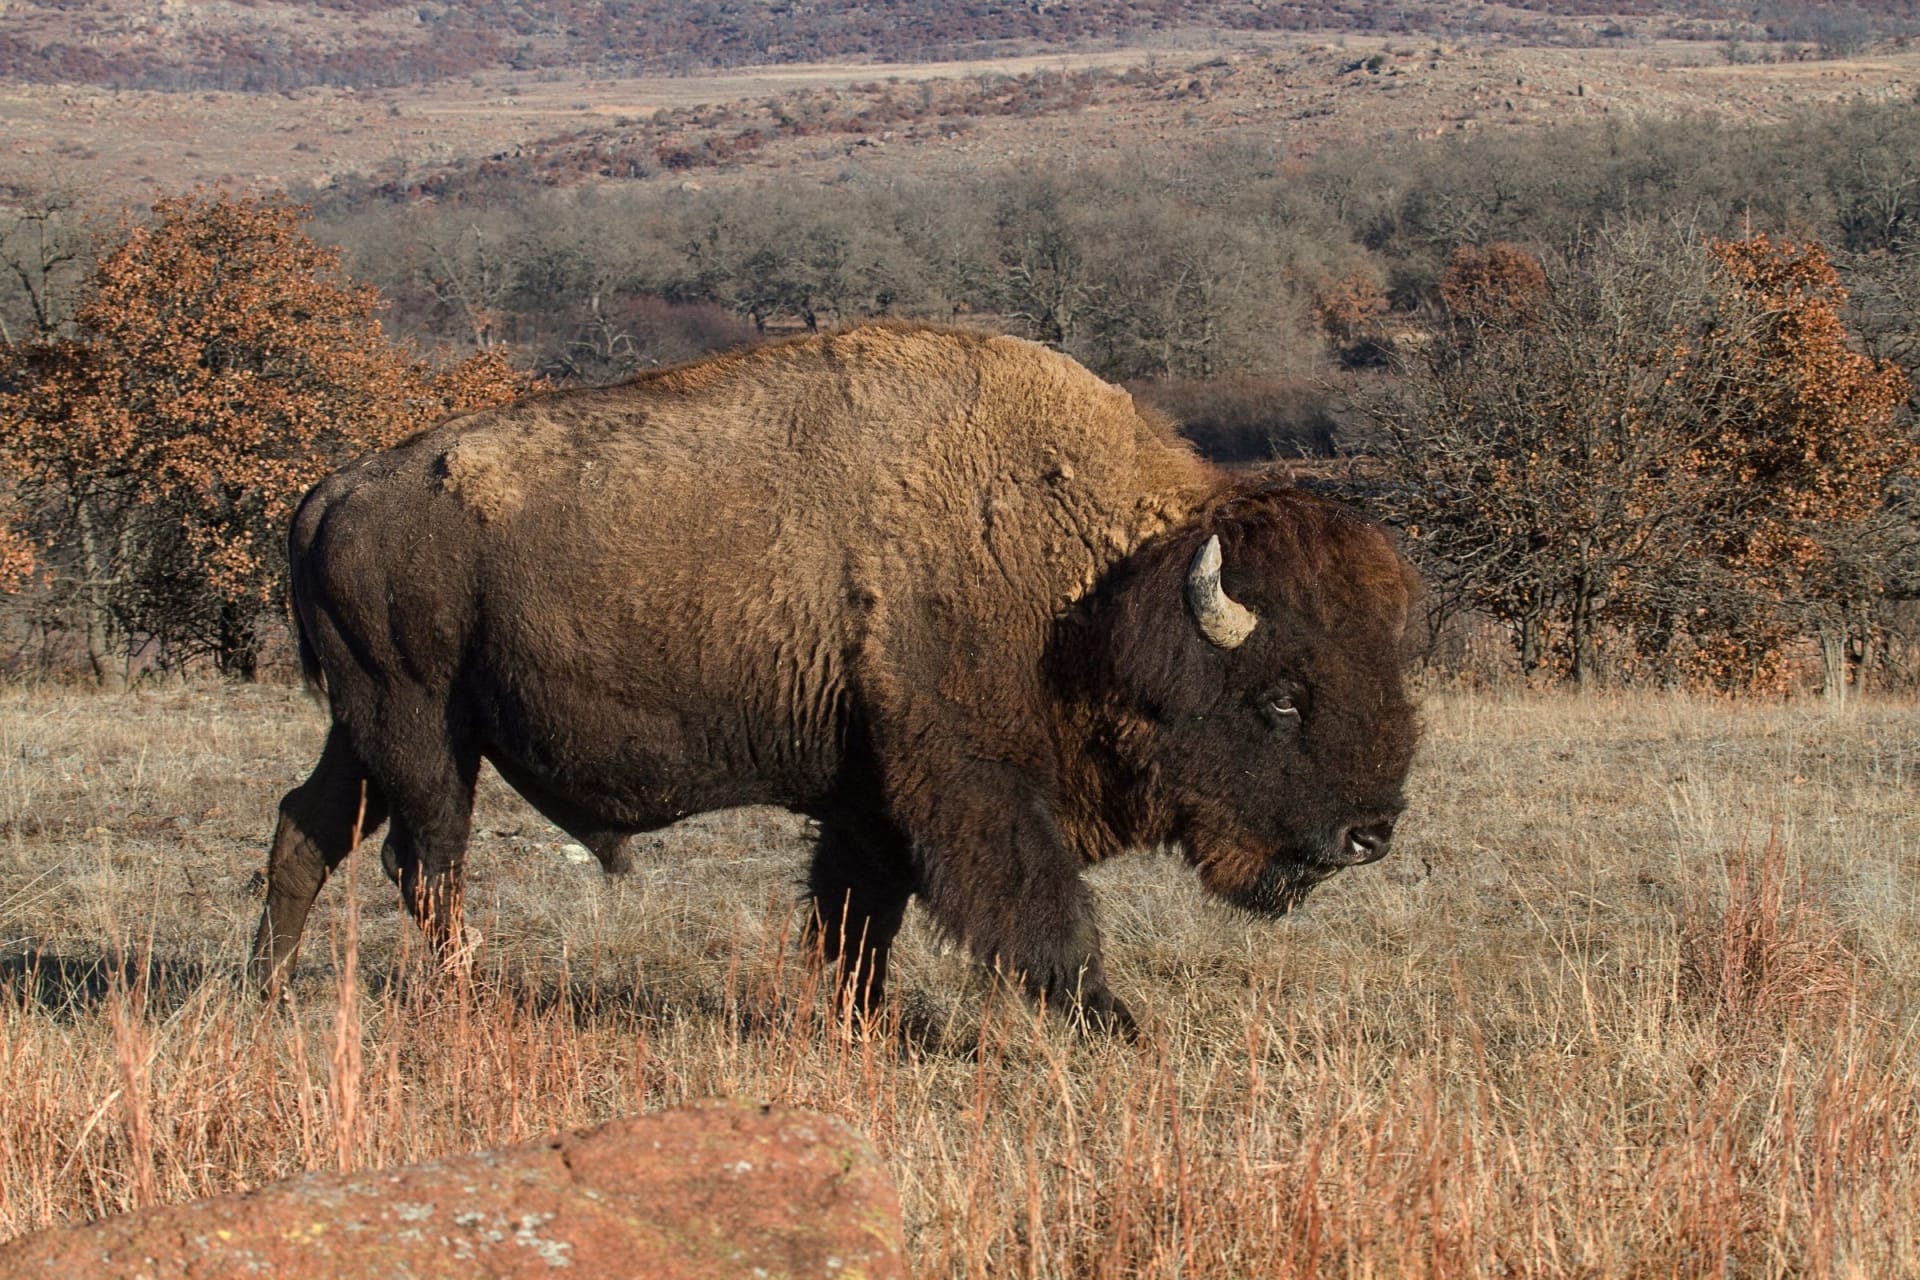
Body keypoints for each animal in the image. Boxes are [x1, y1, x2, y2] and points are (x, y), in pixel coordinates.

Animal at [250, 324, 1420, 1029]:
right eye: (1281, 699)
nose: (1370, 833)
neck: (1091, 588)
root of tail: (331, 492)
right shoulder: (969, 788)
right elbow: (1041, 915)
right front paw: (1116, 1025)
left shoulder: (871, 800)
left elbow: (859, 919)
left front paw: (859, 1023)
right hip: (422, 728)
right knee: (424, 862)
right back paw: (465, 999)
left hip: (368, 729)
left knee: (309, 827)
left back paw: (266, 986)